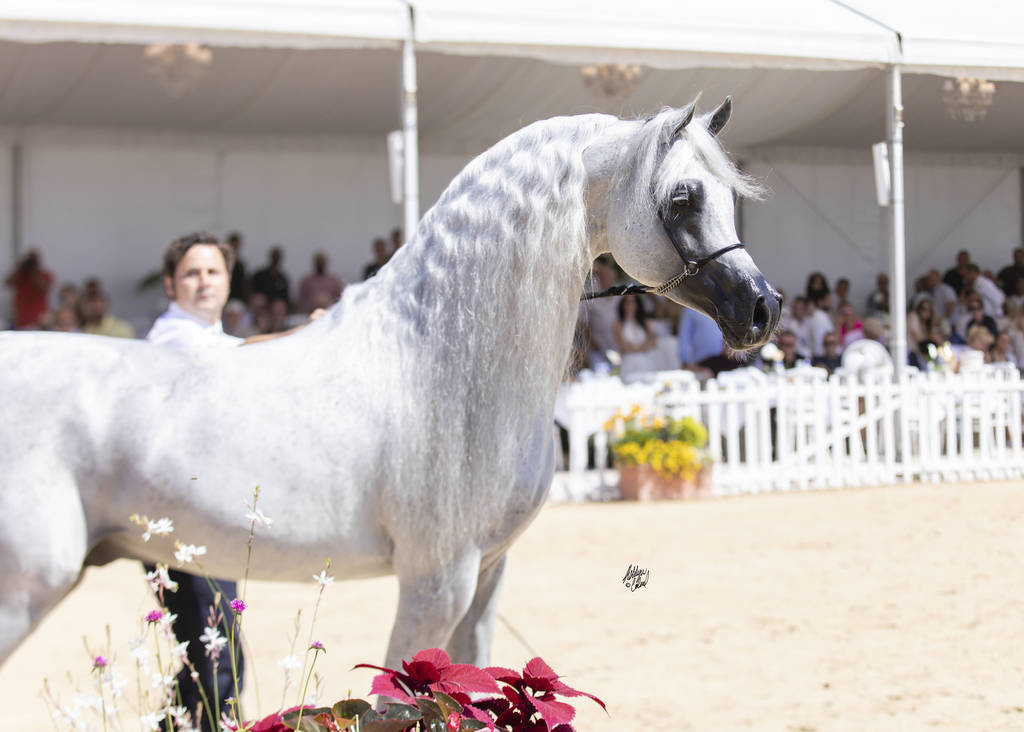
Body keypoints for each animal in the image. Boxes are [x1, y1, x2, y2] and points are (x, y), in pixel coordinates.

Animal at [0, 97, 780, 673]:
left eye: (727, 195)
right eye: (681, 199)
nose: (762, 309)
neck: (441, 363)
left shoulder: (486, 580)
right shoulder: (437, 582)